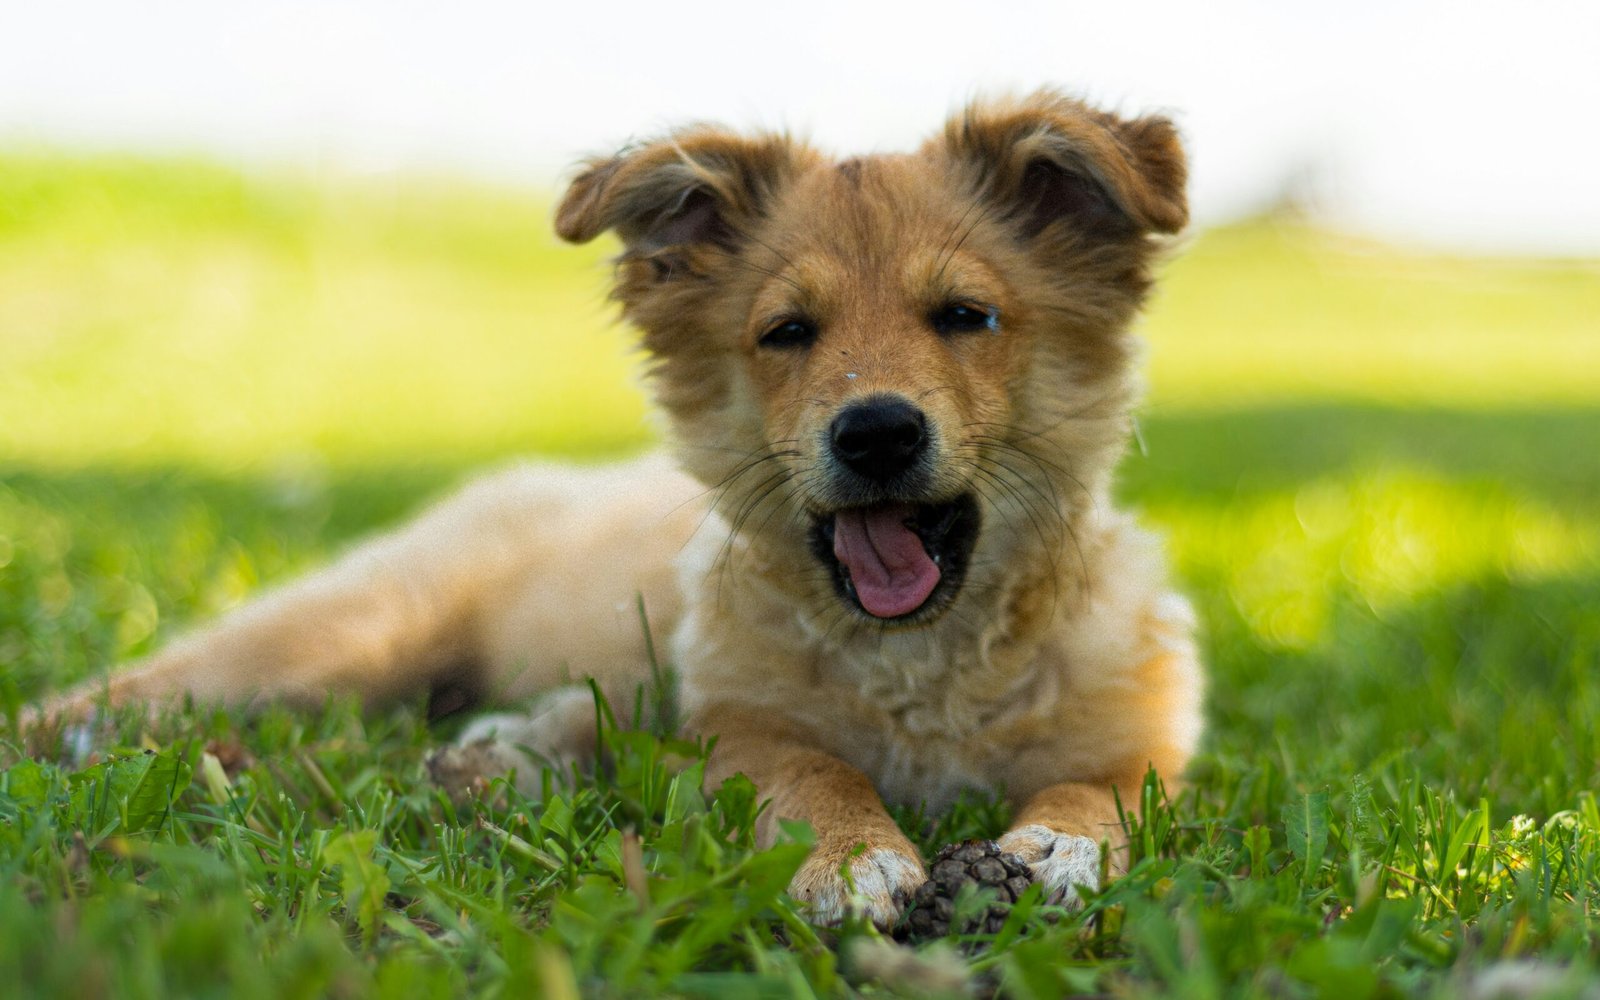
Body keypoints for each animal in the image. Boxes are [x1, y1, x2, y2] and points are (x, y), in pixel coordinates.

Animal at [34, 91, 1203, 921]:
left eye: (966, 316)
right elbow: (809, 766)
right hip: (347, 634)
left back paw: (510, 750)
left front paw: (1057, 843)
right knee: (155, 684)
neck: (923, 665)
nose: (875, 432)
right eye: (787, 332)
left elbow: (1103, 789)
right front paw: (850, 854)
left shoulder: (1144, 736)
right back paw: (77, 737)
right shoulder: (736, 724)